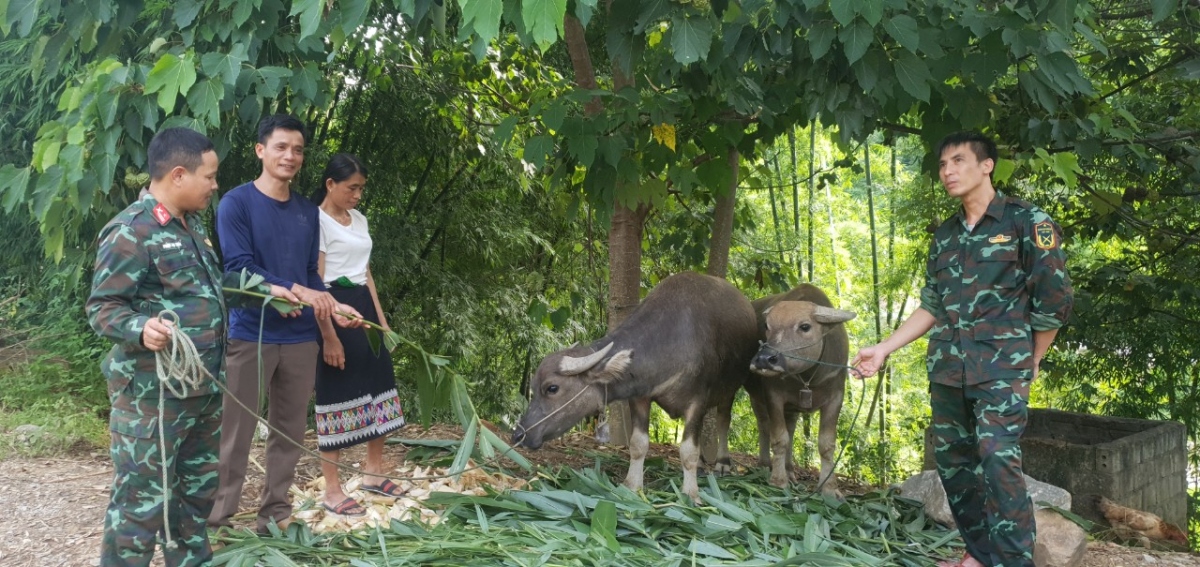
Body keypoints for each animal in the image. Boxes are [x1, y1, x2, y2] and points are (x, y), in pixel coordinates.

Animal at [511, 272, 753, 502]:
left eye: (552, 388)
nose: (519, 435)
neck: (670, 340)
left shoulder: (697, 402)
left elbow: (688, 450)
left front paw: (691, 494)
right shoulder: (640, 397)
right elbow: (638, 444)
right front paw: (632, 485)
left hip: (730, 389)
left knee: (723, 420)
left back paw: (722, 463)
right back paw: (703, 464)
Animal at [744, 285, 859, 494]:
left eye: (805, 326)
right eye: (767, 325)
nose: (764, 359)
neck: (808, 379)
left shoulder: (836, 398)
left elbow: (826, 444)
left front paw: (829, 487)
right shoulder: (773, 395)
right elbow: (779, 438)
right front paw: (778, 480)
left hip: (792, 408)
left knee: (790, 429)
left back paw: (790, 470)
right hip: (757, 398)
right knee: (764, 426)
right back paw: (765, 465)